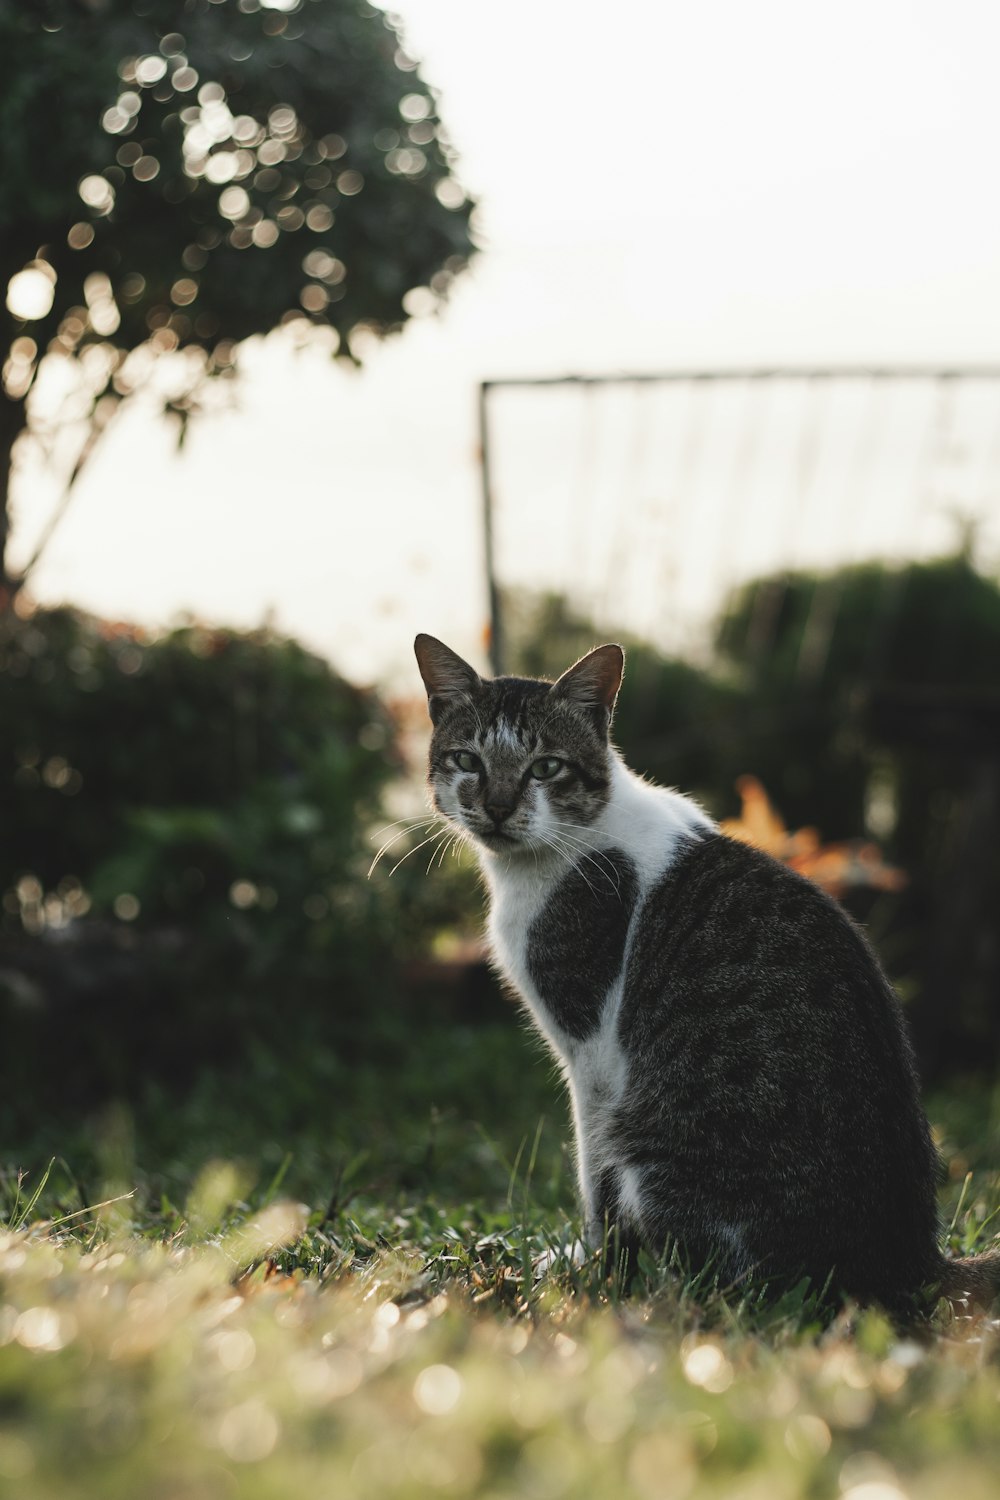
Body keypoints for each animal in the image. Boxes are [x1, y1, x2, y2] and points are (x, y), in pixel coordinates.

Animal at [413, 633, 1000, 1314]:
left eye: (546, 768)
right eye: (467, 760)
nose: (498, 806)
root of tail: (914, 1266)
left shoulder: (593, 1049)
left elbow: (594, 1173)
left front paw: (594, 1269)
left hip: (661, 1146)